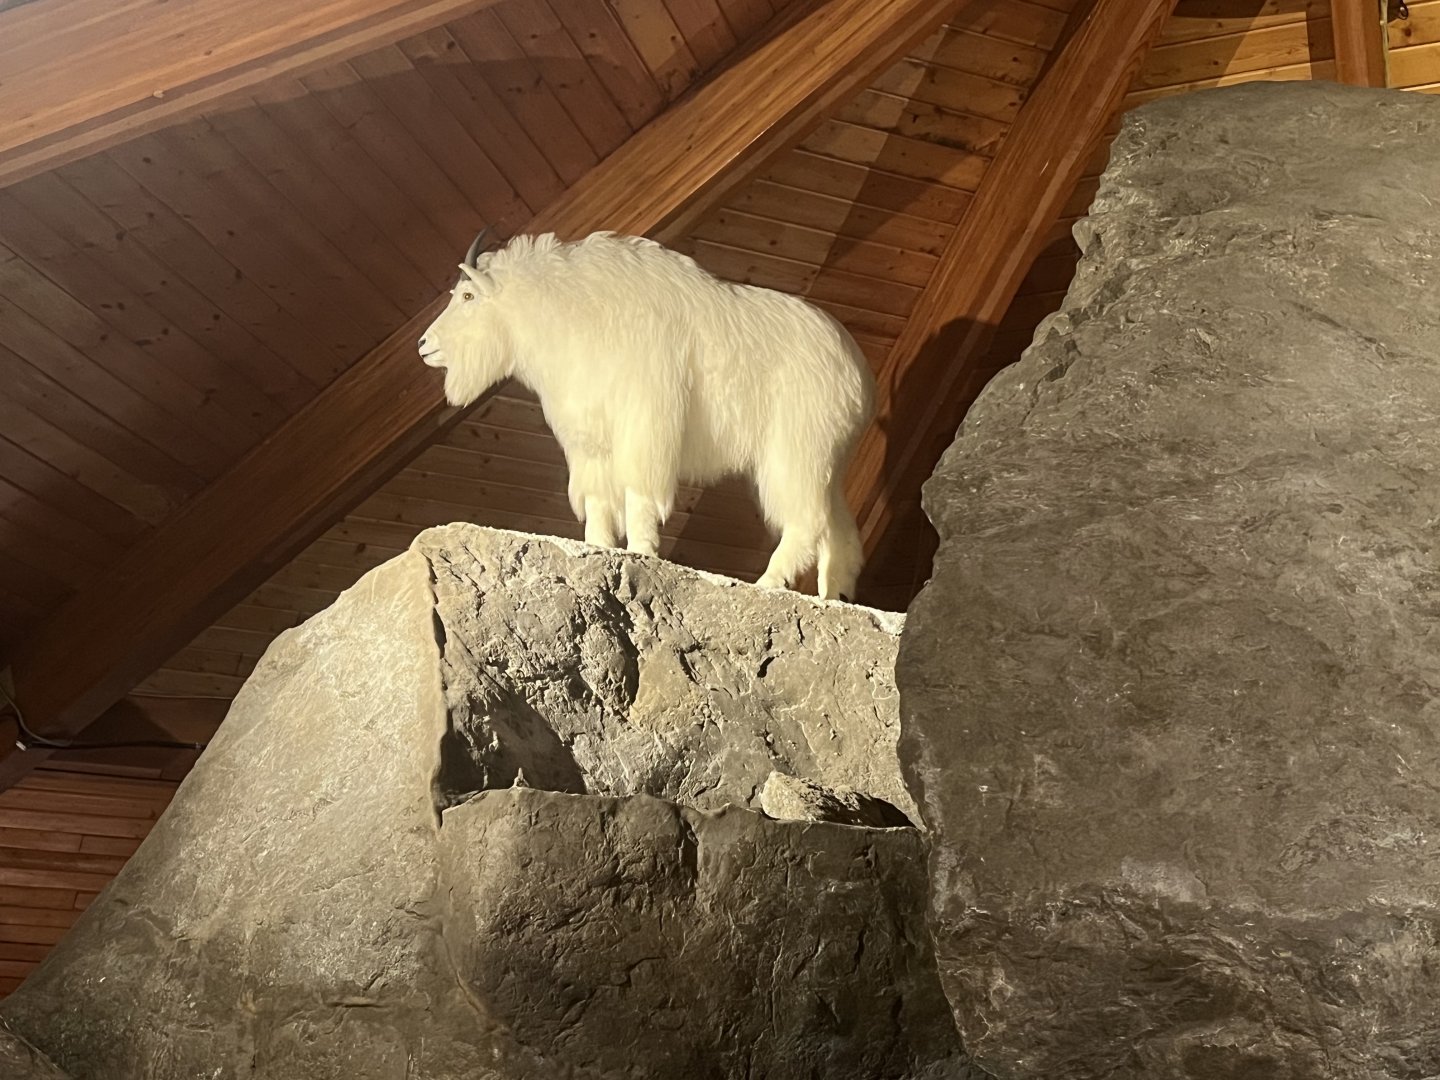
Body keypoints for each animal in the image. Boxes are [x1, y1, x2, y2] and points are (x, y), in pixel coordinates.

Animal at [418, 231, 874, 600]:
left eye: (468, 297)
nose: (424, 345)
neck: (572, 314)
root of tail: (860, 374)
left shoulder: (643, 424)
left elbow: (637, 490)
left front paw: (641, 552)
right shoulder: (592, 441)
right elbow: (598, 500)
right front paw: (596, 548)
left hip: (795, 449)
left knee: (806, 520)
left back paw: (769, 582)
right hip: (825, 462)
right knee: (838, 530)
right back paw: (833, 595)